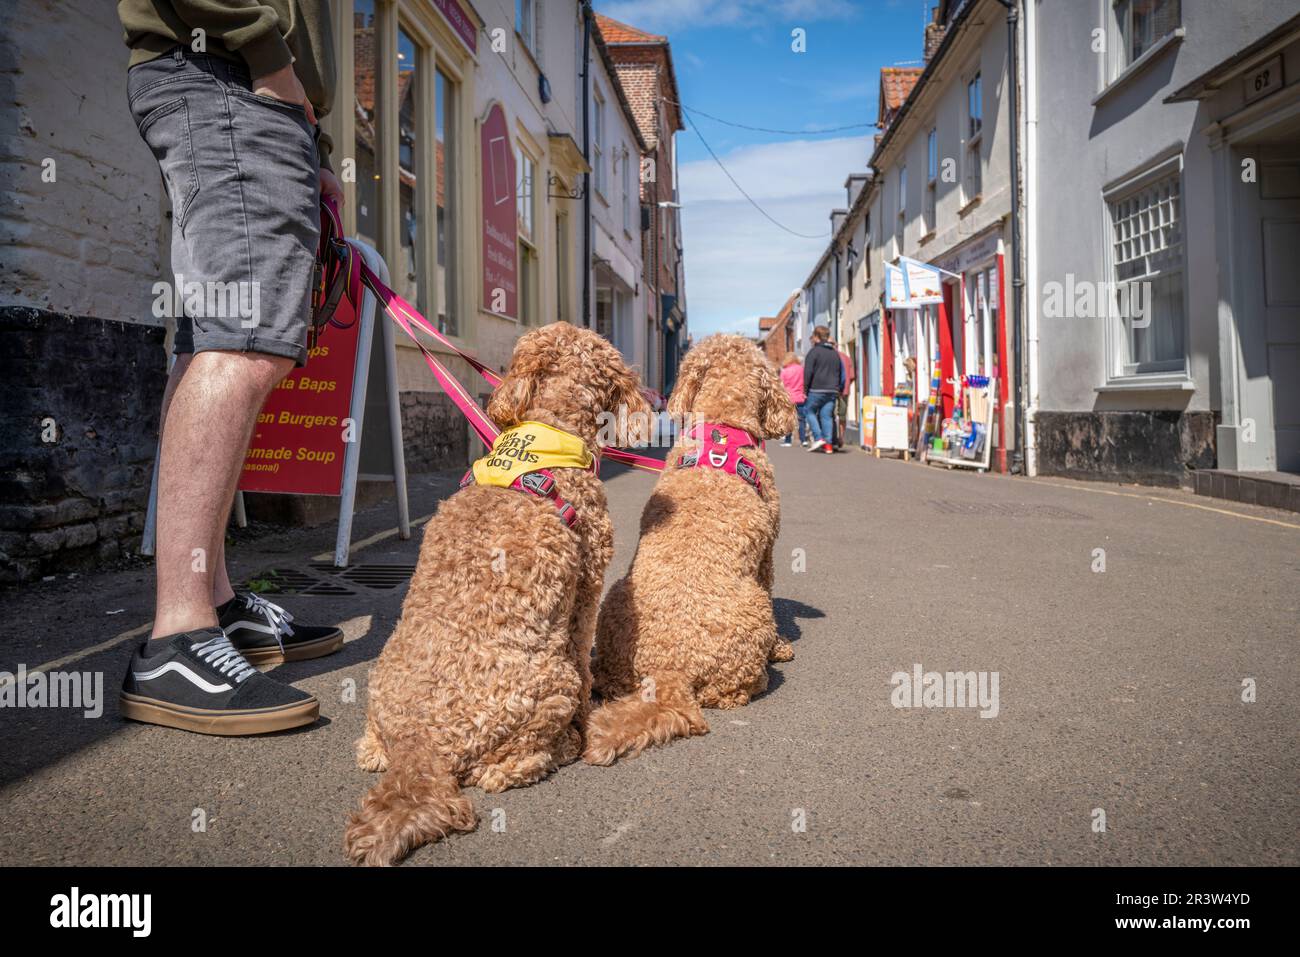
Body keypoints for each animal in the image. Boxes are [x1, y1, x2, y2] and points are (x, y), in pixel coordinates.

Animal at [345, 323, 650, 868]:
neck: (549, 433)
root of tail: (421, 750)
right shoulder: (586, 586)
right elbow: (584, 658)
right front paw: (589, 717)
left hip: (379, 688)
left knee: (373, 748)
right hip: (550, 682)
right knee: (500, 769)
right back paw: (556, 750)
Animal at [585, 332, 795, 764]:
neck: (722, 426)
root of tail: (669, 673)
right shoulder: (767, 552)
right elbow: (770, 581)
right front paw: (782, 646)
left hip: (614, 600)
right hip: (753, 611)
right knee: (727, 690)